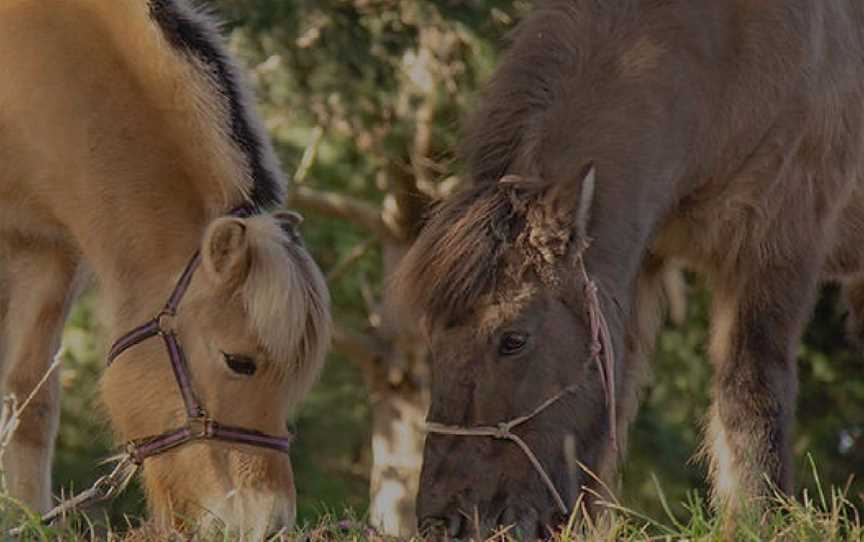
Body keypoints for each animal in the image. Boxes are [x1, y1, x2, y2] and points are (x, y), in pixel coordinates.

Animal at [396, 0, 864, 540]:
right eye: (432, 338)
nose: (447, 522)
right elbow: (615, 396)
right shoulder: (635, 262)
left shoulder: (777, 248)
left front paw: (757, 519)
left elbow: (751, 390)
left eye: (513, 339)